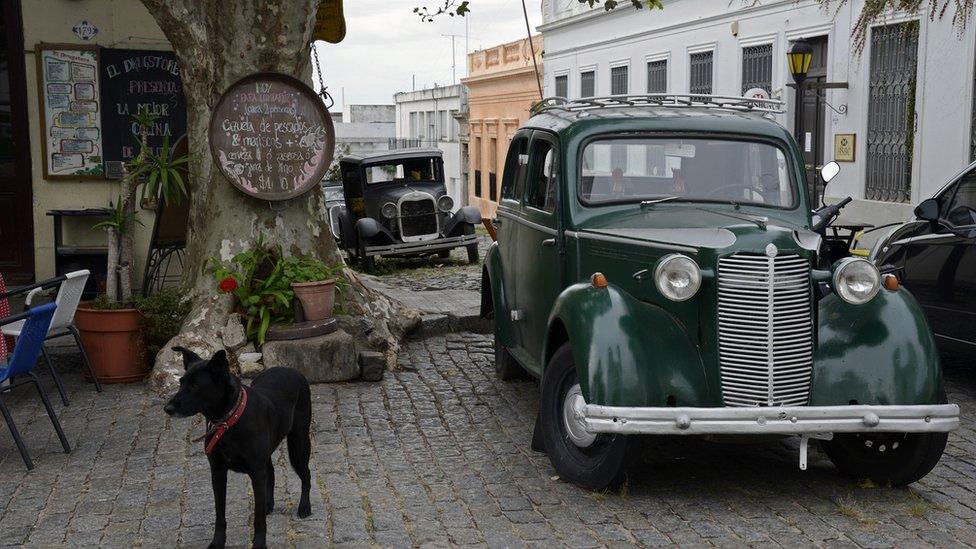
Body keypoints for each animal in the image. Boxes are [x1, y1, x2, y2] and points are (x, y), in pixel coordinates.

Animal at [162, 348, 310, 544]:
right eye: (180, 383)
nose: (167, 409)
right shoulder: (217, 472)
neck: (227, 422)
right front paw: (217, 542)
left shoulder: (256, 473)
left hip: (300, 440)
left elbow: (258, 520)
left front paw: (259, 543)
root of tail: (291, 369)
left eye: (194, 386)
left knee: (306, 473)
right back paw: (268, 504)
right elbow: (219, 514)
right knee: (271, 471)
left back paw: (305, 506)